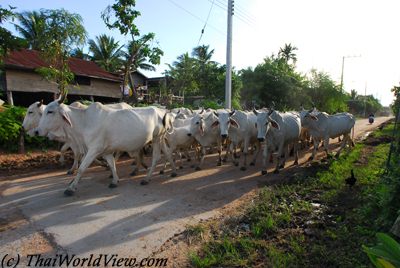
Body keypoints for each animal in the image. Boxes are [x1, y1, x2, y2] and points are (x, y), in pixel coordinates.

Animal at [36, 95, 176, 196]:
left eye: (50, 111)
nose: (37, 131)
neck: (84, 121)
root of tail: (162, 110)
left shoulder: (93, 149)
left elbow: (82, 168)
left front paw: (71, 188)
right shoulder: (105, 151)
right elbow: (112, 164)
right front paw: (115, 181)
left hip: (157, 138)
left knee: (156, 157)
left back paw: (147, 178)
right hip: (160, 139)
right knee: (167, 153)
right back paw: (173, 172)